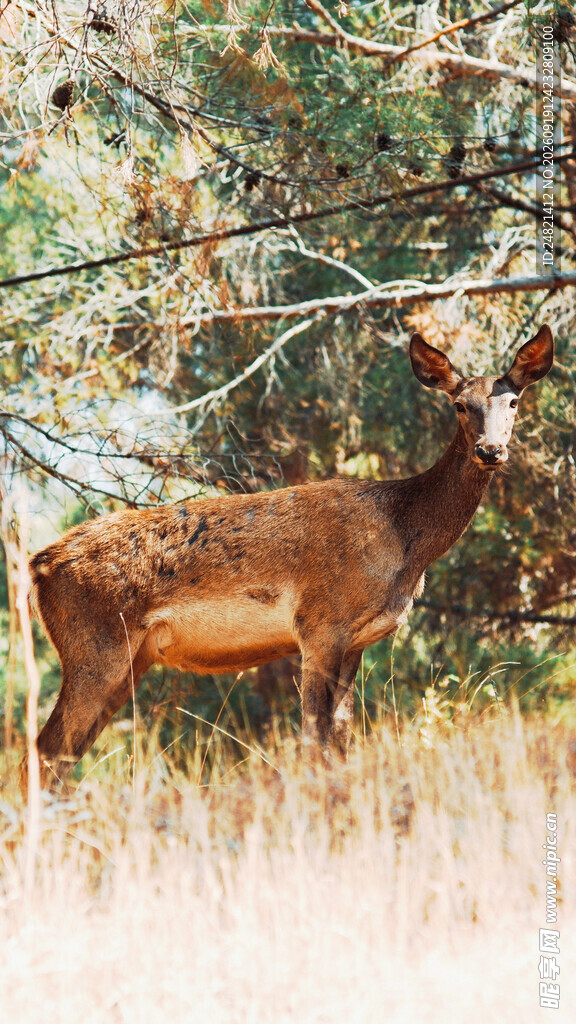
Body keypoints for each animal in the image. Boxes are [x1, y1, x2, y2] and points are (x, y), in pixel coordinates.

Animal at [26, 325, 553, 786]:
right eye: (459, 404)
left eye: (514, 401)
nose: (490, 450)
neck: (404, 541)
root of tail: (37, 566)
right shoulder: (320, 624)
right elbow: (314, 740)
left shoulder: (356, 641)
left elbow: (341, 738)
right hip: (95, 648)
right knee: (44, 751)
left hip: (128, 661)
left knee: (61, 756)